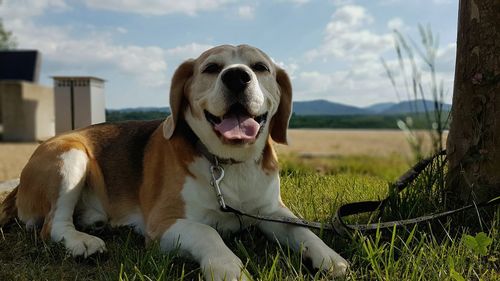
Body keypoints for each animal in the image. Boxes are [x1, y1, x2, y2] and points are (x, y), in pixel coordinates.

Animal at [0, 44, 348, 278]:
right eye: (211, 68)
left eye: (260, 67)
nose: (237, 77)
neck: (227, 165)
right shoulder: (163, 224)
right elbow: (207, 232)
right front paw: (227, 267)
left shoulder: (271, 211)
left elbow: (301, 229)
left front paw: (329, 257)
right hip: (70, 157)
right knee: (52, 226)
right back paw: (81, 242)